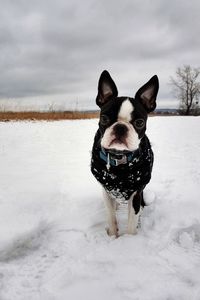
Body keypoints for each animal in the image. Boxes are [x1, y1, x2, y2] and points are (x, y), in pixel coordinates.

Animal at [91, 70, 159, 237]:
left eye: (140, 122)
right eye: (104, 118)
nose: (121, 127)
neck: (119, 157)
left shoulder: (136, 194)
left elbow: (131, 223)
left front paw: (129, 240)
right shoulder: (106, 190)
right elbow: (111, 217)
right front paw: (113, 237)